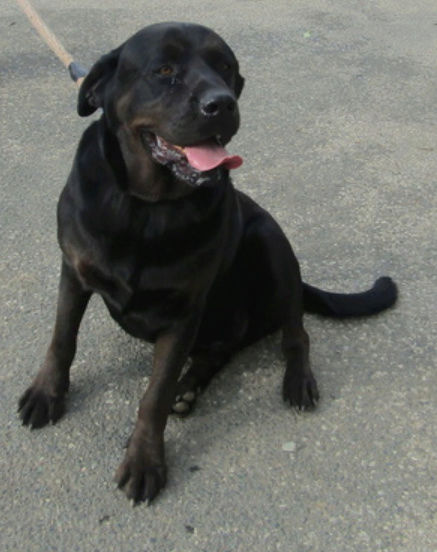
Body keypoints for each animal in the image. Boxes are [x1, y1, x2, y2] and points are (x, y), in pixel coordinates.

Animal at [17, 22, 396, 504]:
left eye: (226, 68)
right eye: (164, 70)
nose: (222, 103)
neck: (146, 208)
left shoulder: (183, 311)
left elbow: (154, 395)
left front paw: (145, 460)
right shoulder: (74, 271)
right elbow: (62, 338)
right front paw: (46, 394)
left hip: (271, 240)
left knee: (296, 334)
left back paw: (290, 380)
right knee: (222, 347)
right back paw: (191, 385)